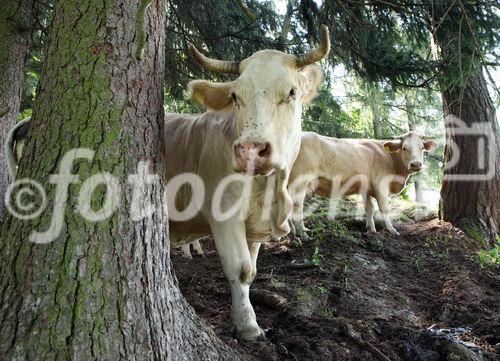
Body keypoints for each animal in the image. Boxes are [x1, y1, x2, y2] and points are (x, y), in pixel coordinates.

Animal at [290, 131, 438, 238]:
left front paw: (371, 229)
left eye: (422, 148)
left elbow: (369, 208)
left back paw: (292, 231)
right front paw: (391, 230)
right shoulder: (381, 184)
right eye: (404, 148)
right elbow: (384, 208)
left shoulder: (366, 188)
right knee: (297, 205)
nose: (416, 164)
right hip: (300, 181)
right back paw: (302, 234)